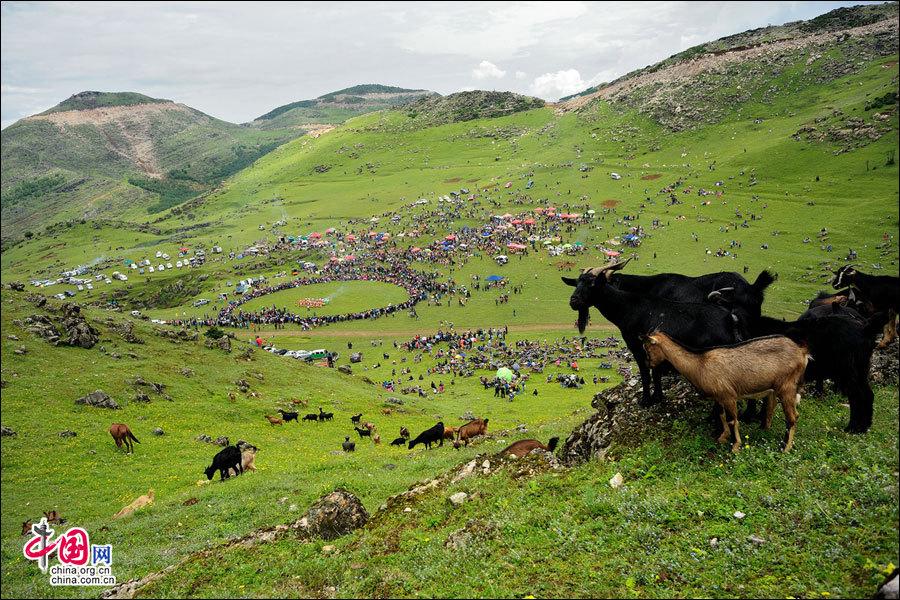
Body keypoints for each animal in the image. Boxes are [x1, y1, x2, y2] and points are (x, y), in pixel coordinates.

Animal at [564, 262, 752, 406]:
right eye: (577, 283)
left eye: (592, 284)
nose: (573, 301)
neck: (629, 307)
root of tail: (730, 318)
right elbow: (656, 373)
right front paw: (658, 398)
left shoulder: (637, 346)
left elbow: (646, 373)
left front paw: (646, 401)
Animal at [644, 330, 804, 452]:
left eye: (647, 349)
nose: (648, 365)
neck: (700, 364)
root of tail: (801, 353)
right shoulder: (719, 397)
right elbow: (721, 416)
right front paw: (723, 437)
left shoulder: (728, 396)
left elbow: (732, 420)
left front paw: (735, 446)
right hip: (776, 388)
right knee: (776, 407)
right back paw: (764, 429)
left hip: (787, 387)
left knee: (792, 417)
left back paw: (785, 448)